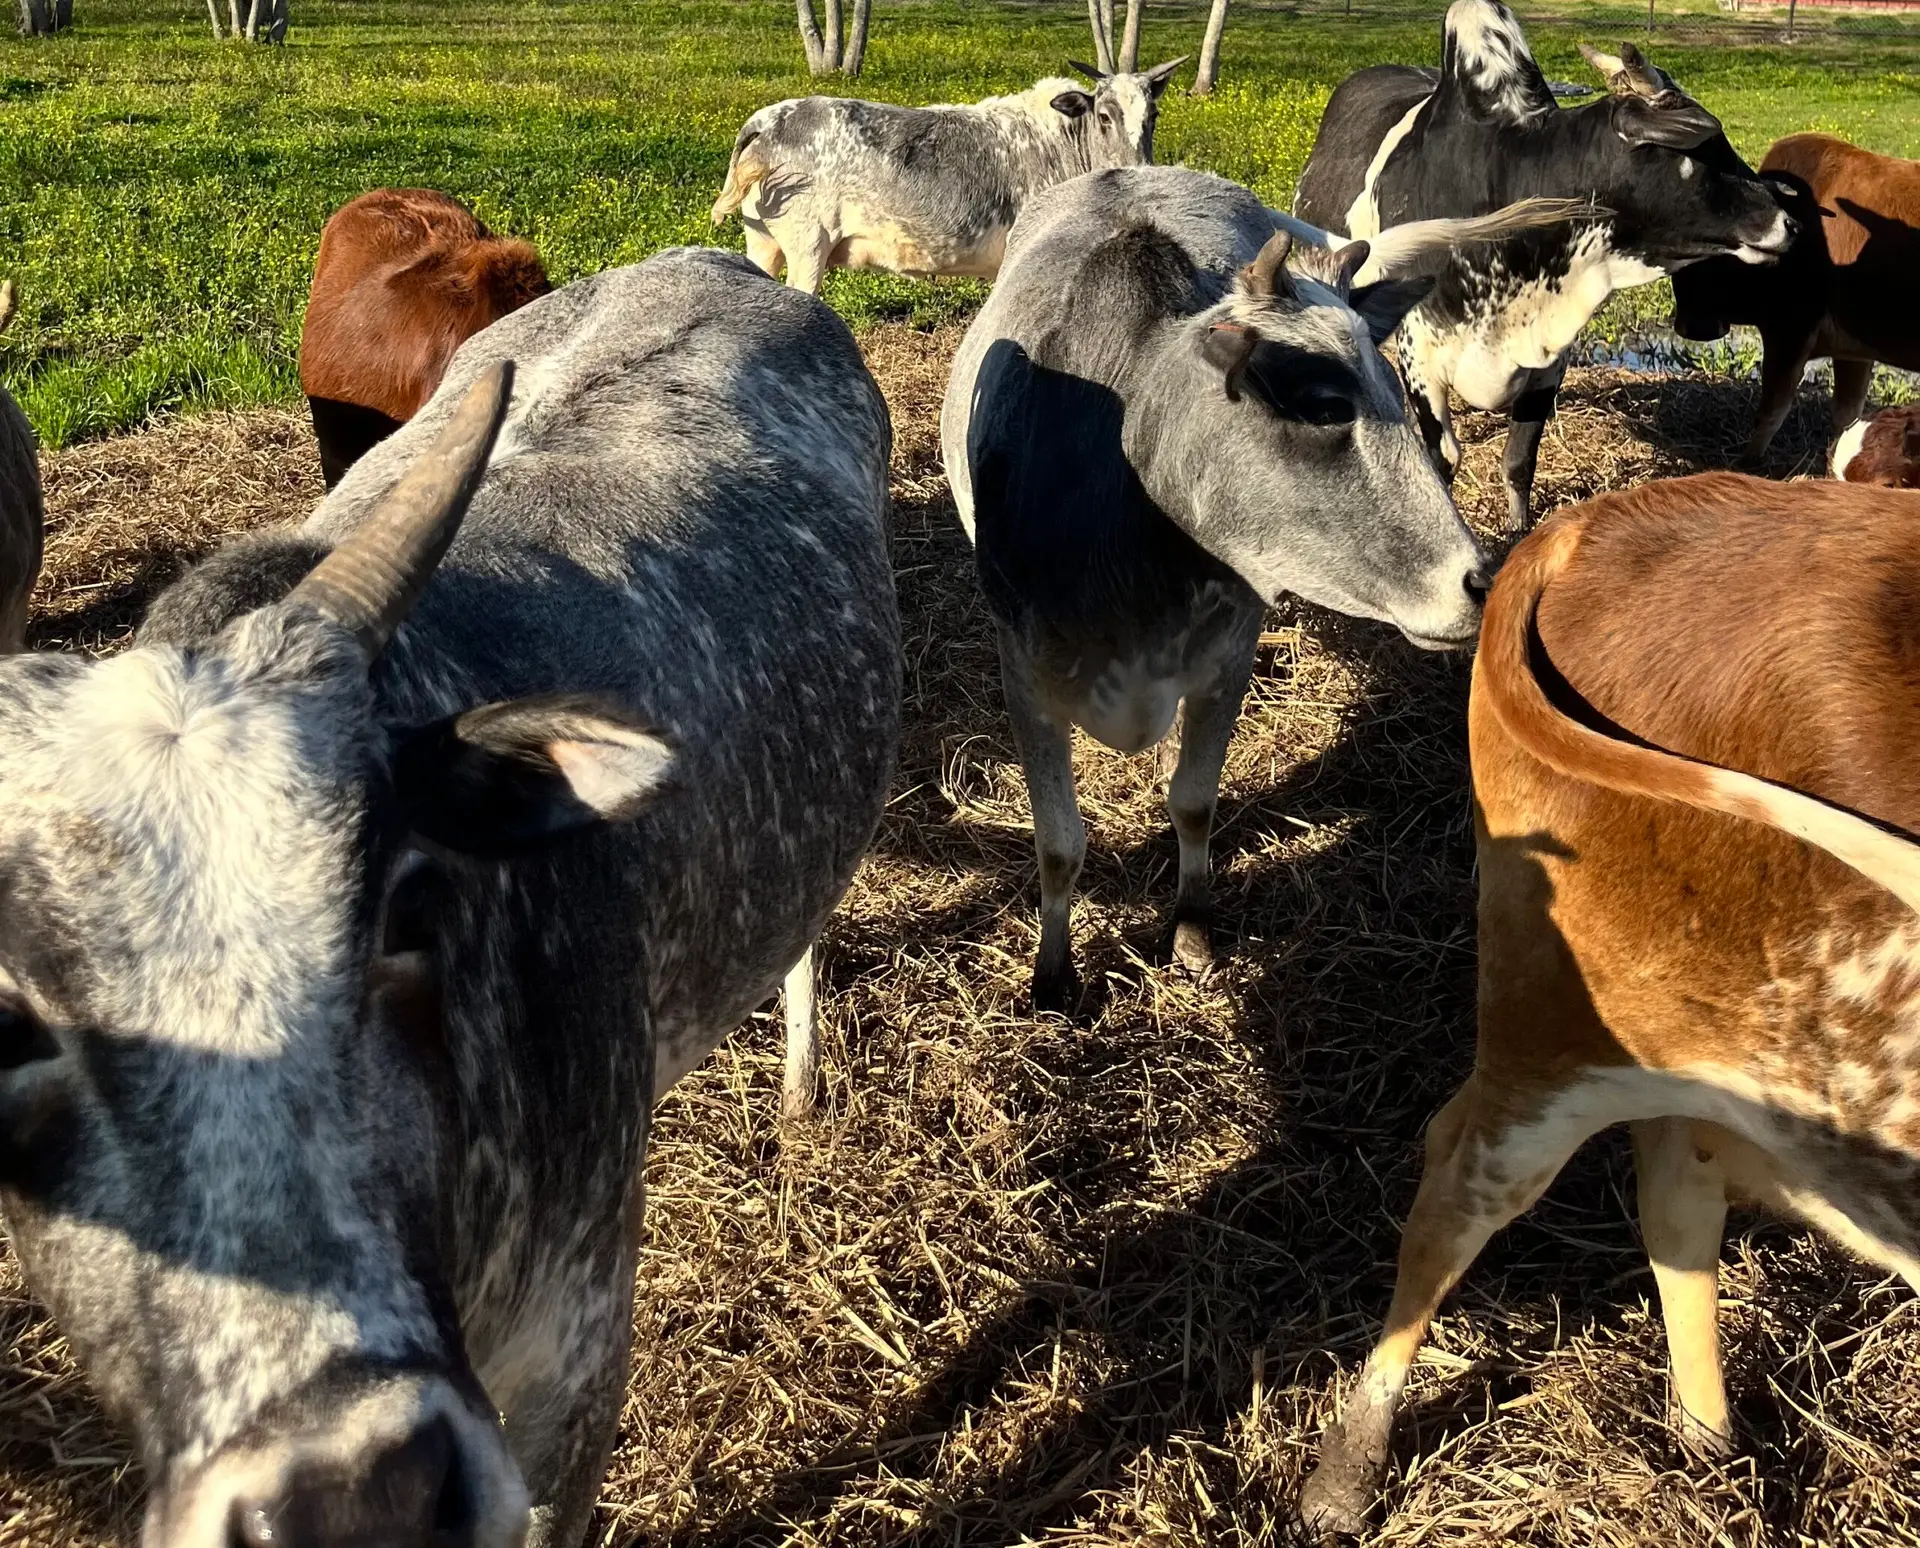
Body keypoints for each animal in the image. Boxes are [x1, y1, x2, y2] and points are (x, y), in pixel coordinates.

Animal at [709, 59, 1185, 294]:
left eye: (1153, 116)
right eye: (1105, 115)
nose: (1140, 170)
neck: (1059, 140)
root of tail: (768, 120)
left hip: (763, 242)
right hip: (808, 246)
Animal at [941, 163, 1582, 1011]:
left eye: (1396, 394)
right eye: (1324, 405)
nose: (1482, 582)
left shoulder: (1228, 657)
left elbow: (1193, 800)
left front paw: (1192, 926)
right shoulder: (1025, 678)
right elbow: (1059, 846)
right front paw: (1053, 976)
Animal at [1292, 0, 1793, 533]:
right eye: (1707, 150)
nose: (1790, 222)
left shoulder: (1548, 360)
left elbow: (1519, 460)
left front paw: (1520, 531)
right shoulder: (1420, 354)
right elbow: (1443, 461)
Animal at [1300, 472, 1920, 1538]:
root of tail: (1608, 516)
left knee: (1677, 1199)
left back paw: (1712, 1461)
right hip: (1558, 1029)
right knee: (1459, 1180)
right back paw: (1347, 1471)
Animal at [1671, 135, 1920, 465]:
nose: (1696, 328)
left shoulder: (1790, 331)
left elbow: (1770, 413)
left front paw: (1747, 463)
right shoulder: (1854, 351)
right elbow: (1846, 417)